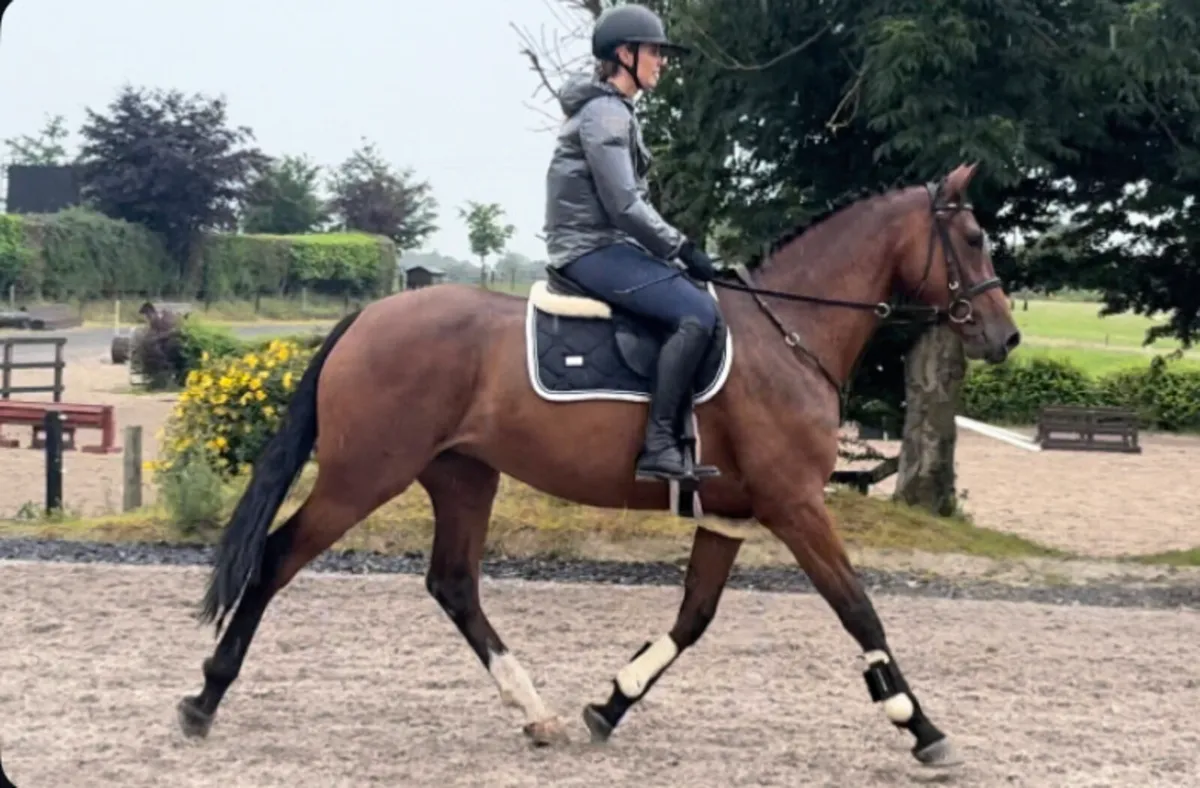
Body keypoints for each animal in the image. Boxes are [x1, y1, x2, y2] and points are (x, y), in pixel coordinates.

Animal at [175, 162, 1020, 769]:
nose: (1005, 337)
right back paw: (204, 698)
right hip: (363, 477)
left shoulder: (732, 516)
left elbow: (693, 617)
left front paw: (610, 703)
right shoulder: (795, 507)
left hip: (463, 476)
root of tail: (370, 316)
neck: (789, 333)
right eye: (975, 237)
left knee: (453, 584)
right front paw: (921, 726)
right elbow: (859, 610)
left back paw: (536, 712)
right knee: (277, 558)